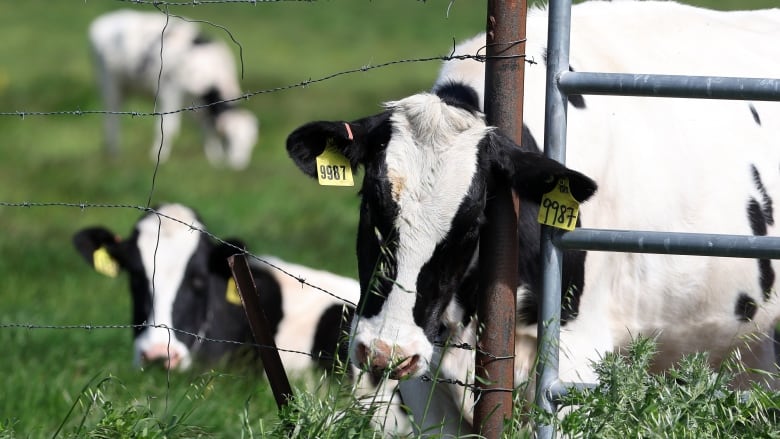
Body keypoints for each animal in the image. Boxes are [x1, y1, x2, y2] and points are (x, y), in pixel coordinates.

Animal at [88, 9, 258, 170]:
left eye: (251, 142)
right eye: (228, 140)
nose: (238, 165)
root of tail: (105, 20)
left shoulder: (198, 106)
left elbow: (206, 130)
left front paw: (214, 160)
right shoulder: (170, 91)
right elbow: (169, 128)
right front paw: (158, 158)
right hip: (109, 83)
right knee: (111, 119)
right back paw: (113, 153)